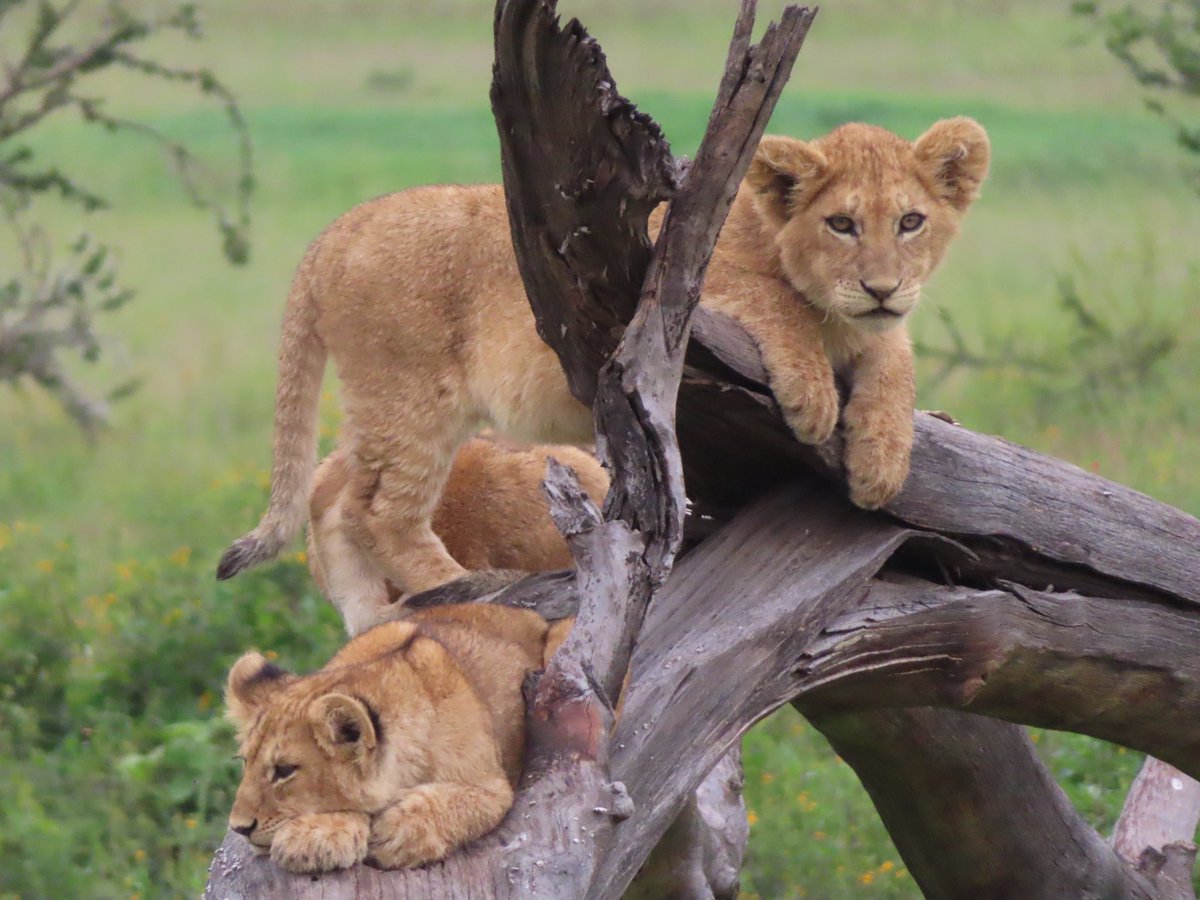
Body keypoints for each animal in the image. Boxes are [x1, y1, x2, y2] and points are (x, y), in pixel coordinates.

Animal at [218, 119, 989, 597]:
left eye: (911, 222)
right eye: (841, 224)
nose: (882, 286)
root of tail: (334, 233)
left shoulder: (877, 329)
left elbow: (894, 357)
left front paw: (884, 460)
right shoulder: (684, 282)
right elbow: (777, 301)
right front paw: (814, 398)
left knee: (340, 493)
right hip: (409, 397)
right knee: (376, 510)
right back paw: (463, 585)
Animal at [225, 602, 557, 873]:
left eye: (284, 770)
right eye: (245, 763)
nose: (239, 828)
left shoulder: (494, 787)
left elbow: (460, 803)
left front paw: (395, 833)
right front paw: (313, 838)